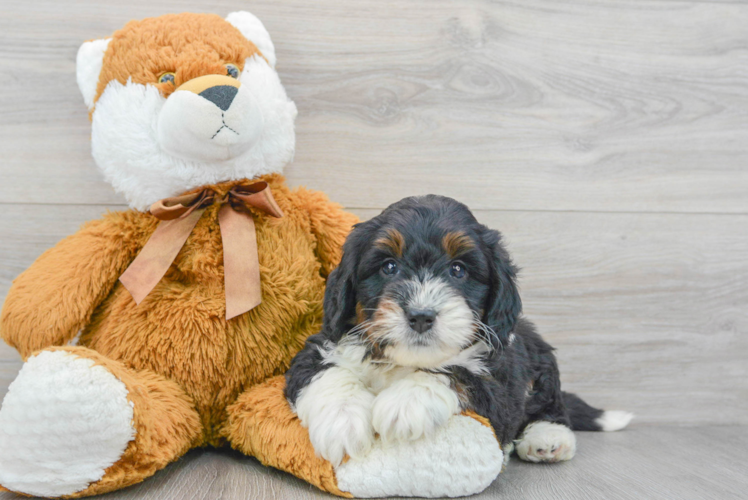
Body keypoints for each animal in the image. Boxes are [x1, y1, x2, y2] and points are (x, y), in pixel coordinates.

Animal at [284, 194, 632, 464]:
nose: (421, 316)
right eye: (388, 266)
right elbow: (327, 370)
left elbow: (457, 373)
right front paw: (342, 422)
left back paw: (549, 438)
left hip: (540, 360)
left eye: (458, 270)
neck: (403, 362)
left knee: (551, 406)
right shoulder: (319, 346)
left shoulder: (501, 388)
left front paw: (404, 403)